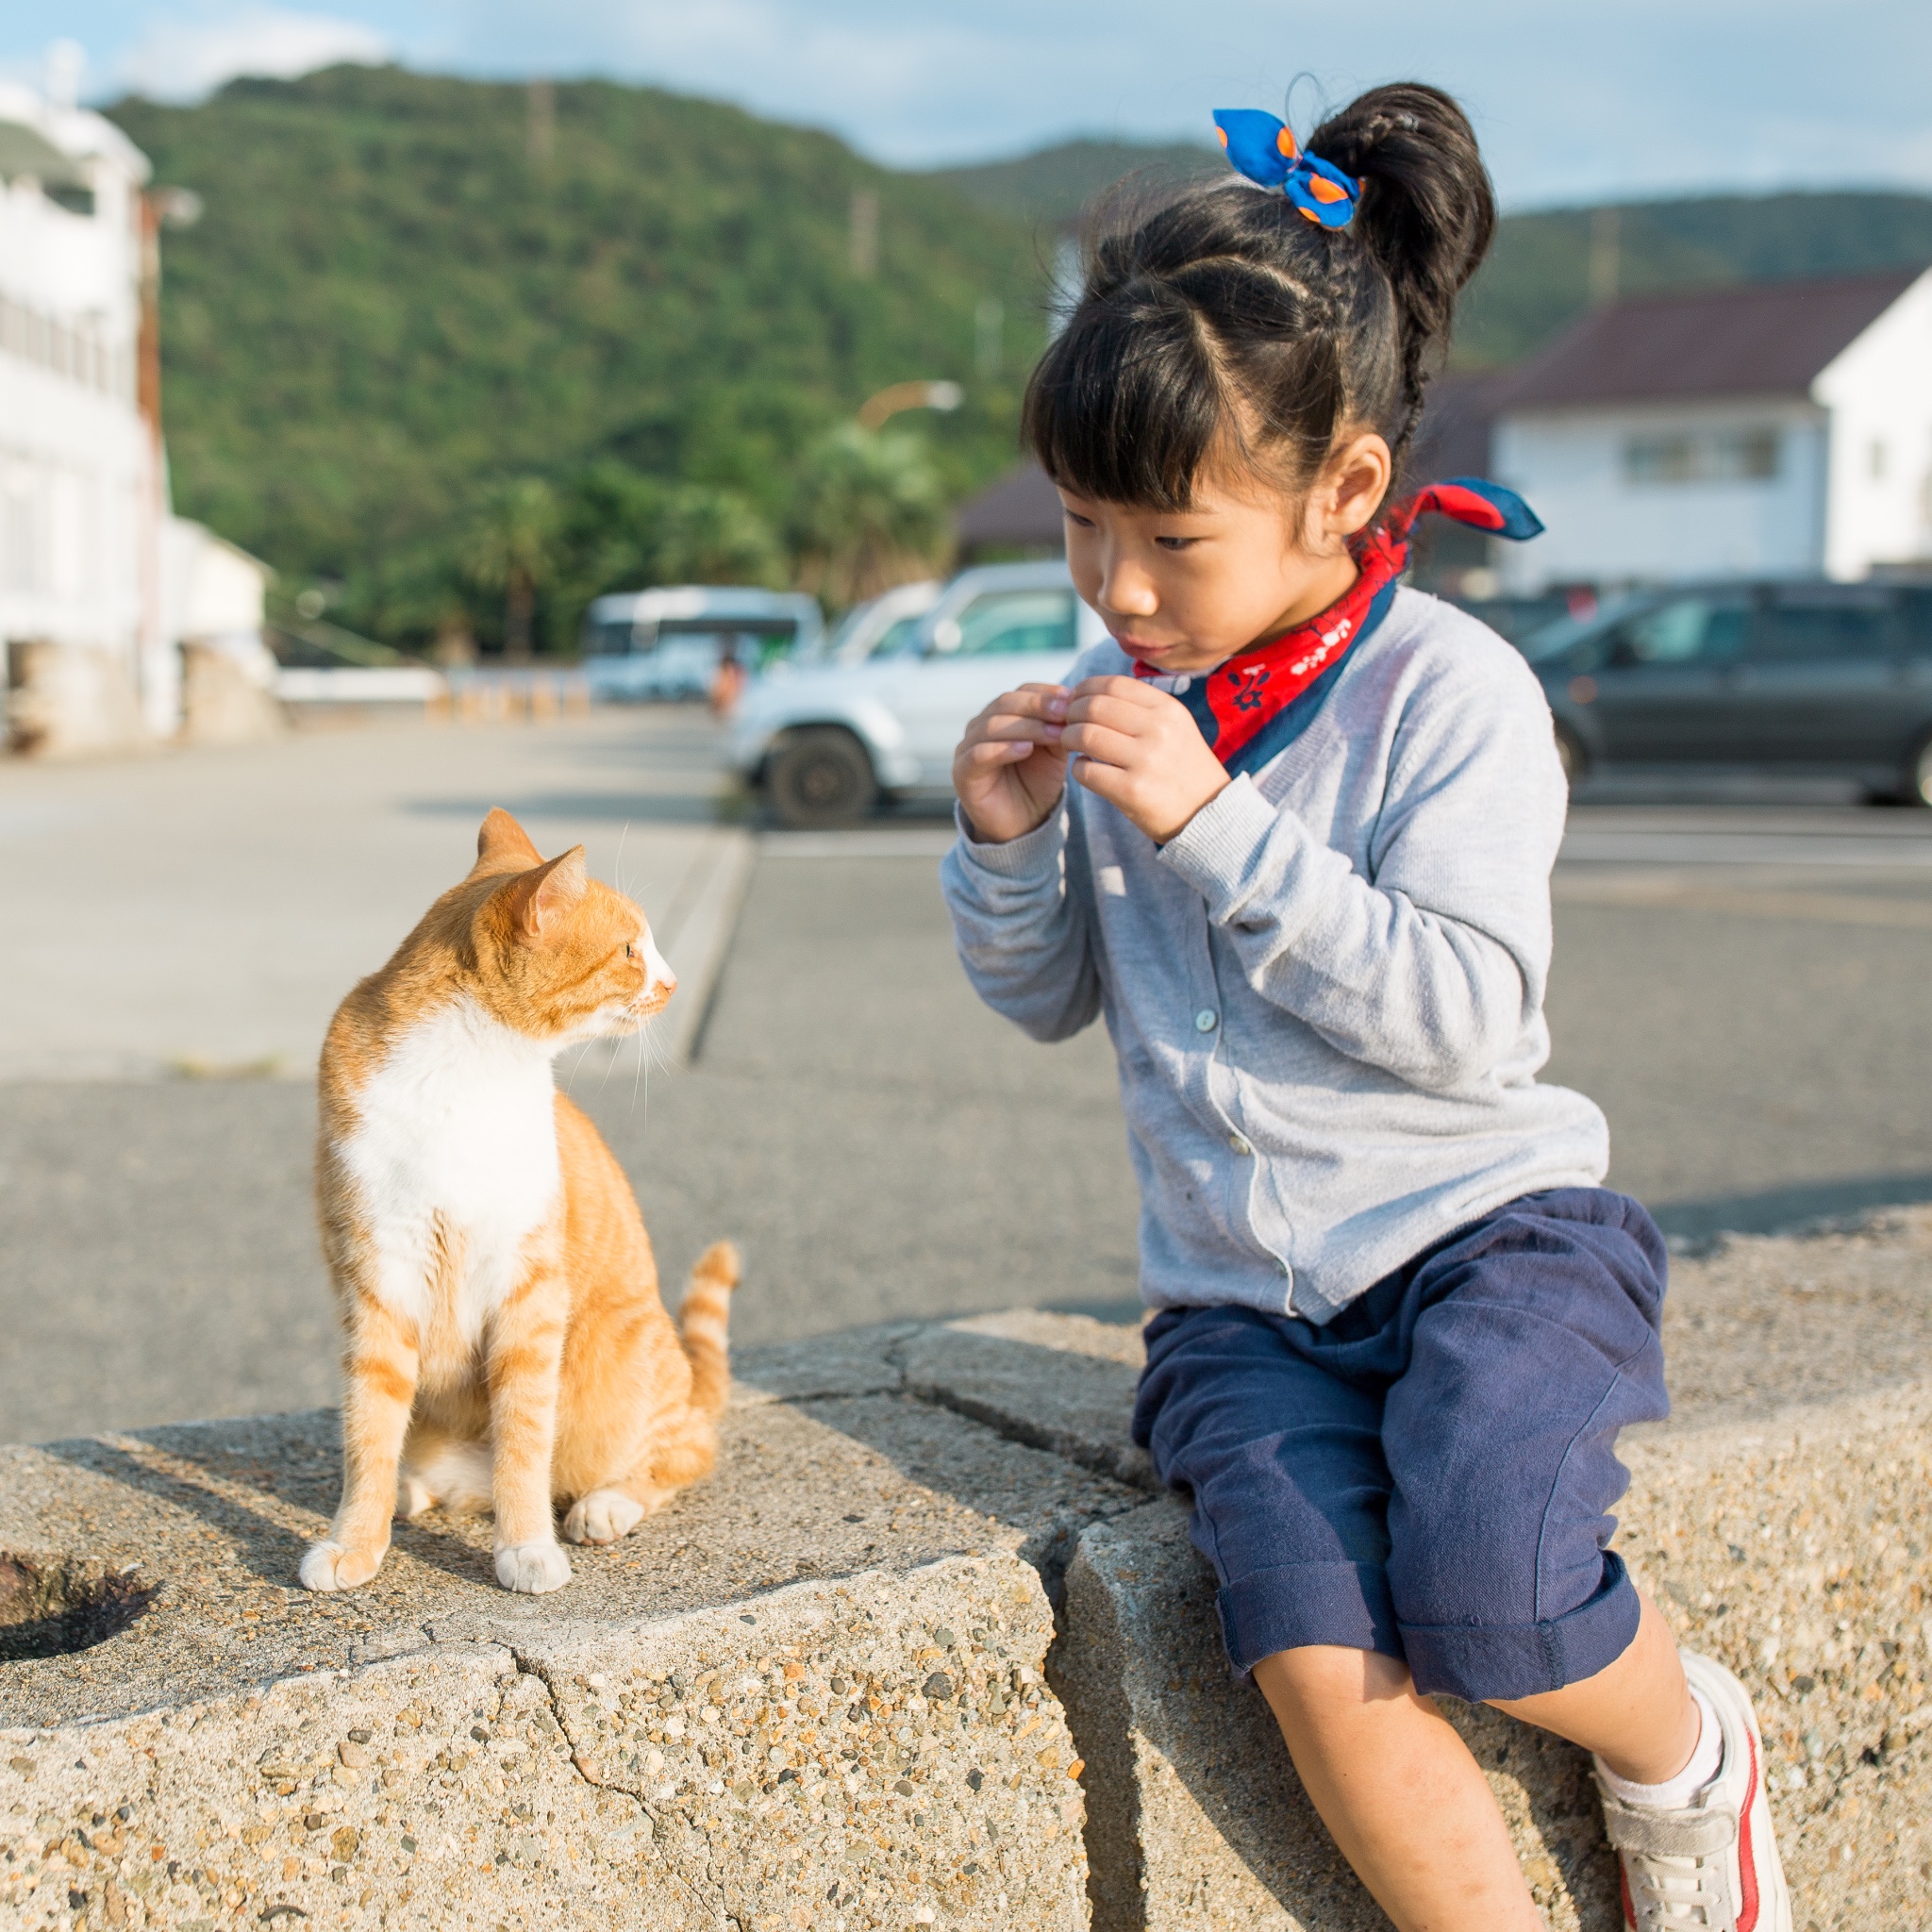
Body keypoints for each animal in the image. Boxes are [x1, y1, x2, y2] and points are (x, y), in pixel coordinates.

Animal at [301, 808, 738, 1591]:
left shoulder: (528, 1291)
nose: (673, 982)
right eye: (631, 950)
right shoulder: (376, 1281)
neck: (466, 1072)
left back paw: (606, 1505)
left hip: (624, 1371)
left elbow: (526, 1438)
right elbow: (367, 1433)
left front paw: (528, 1545)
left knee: (683, 1449)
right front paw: (356, 1542)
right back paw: (413, 1491)